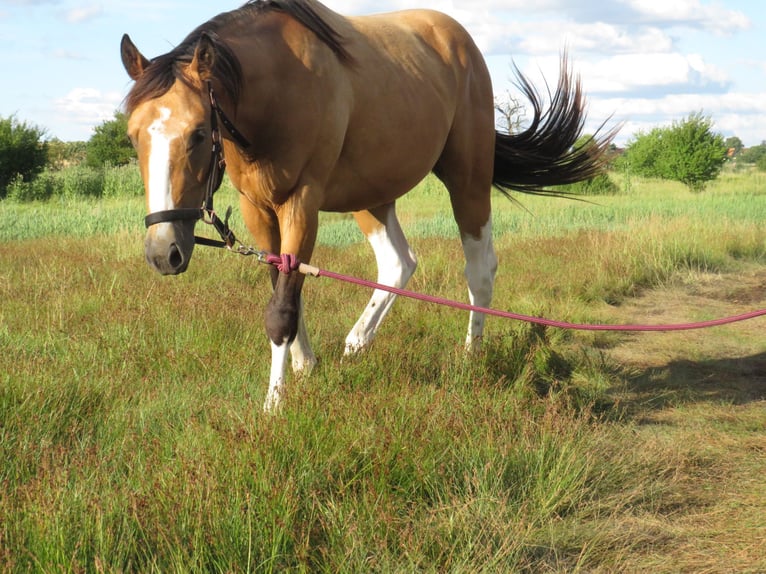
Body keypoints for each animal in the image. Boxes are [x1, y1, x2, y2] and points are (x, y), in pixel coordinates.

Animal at [121, 0, 612, 414]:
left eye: (199, 133)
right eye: (132, 134)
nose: (163, 252)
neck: (279, 88)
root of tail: (461, 43)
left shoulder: (302, 203)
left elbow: (281, 309)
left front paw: (274, 405)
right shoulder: (257, 210)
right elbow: (285, 287)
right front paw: (305, 367)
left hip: (467, 180)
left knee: (479, 268)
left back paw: (470, 357)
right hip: (371, 197)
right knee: (399, 263)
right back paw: (357, 342)